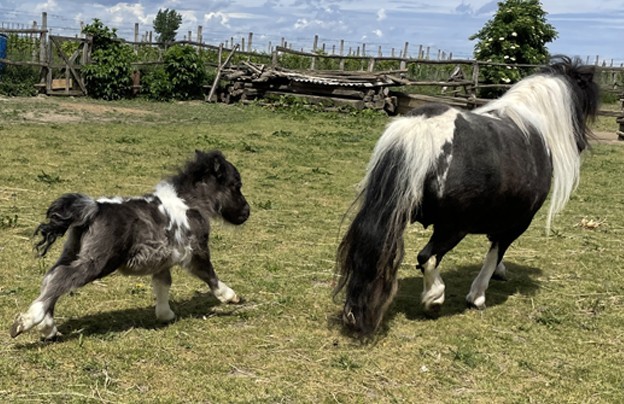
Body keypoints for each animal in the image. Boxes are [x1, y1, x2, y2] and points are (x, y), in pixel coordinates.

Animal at [10, 150, 250, 339]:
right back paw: (28, 321)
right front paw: (230, 296)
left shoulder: (163, 258)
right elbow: (209, 275)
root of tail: (93, 209)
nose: (247, 212)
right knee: (62, 278)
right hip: (98, 261)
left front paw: (165, 315)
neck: (189, 203)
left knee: (51, 277)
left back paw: (48, 328)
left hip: (72, 251)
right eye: (236, 185)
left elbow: (163, 284)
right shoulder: (196, 251)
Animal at [334, 56, 600, 337]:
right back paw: (434, 298)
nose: (581, 144)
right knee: (427, 258)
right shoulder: (518, 222)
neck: (534, 124)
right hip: (452, 227)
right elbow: (495, 252)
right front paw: (478, 295)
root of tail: (421, 129)